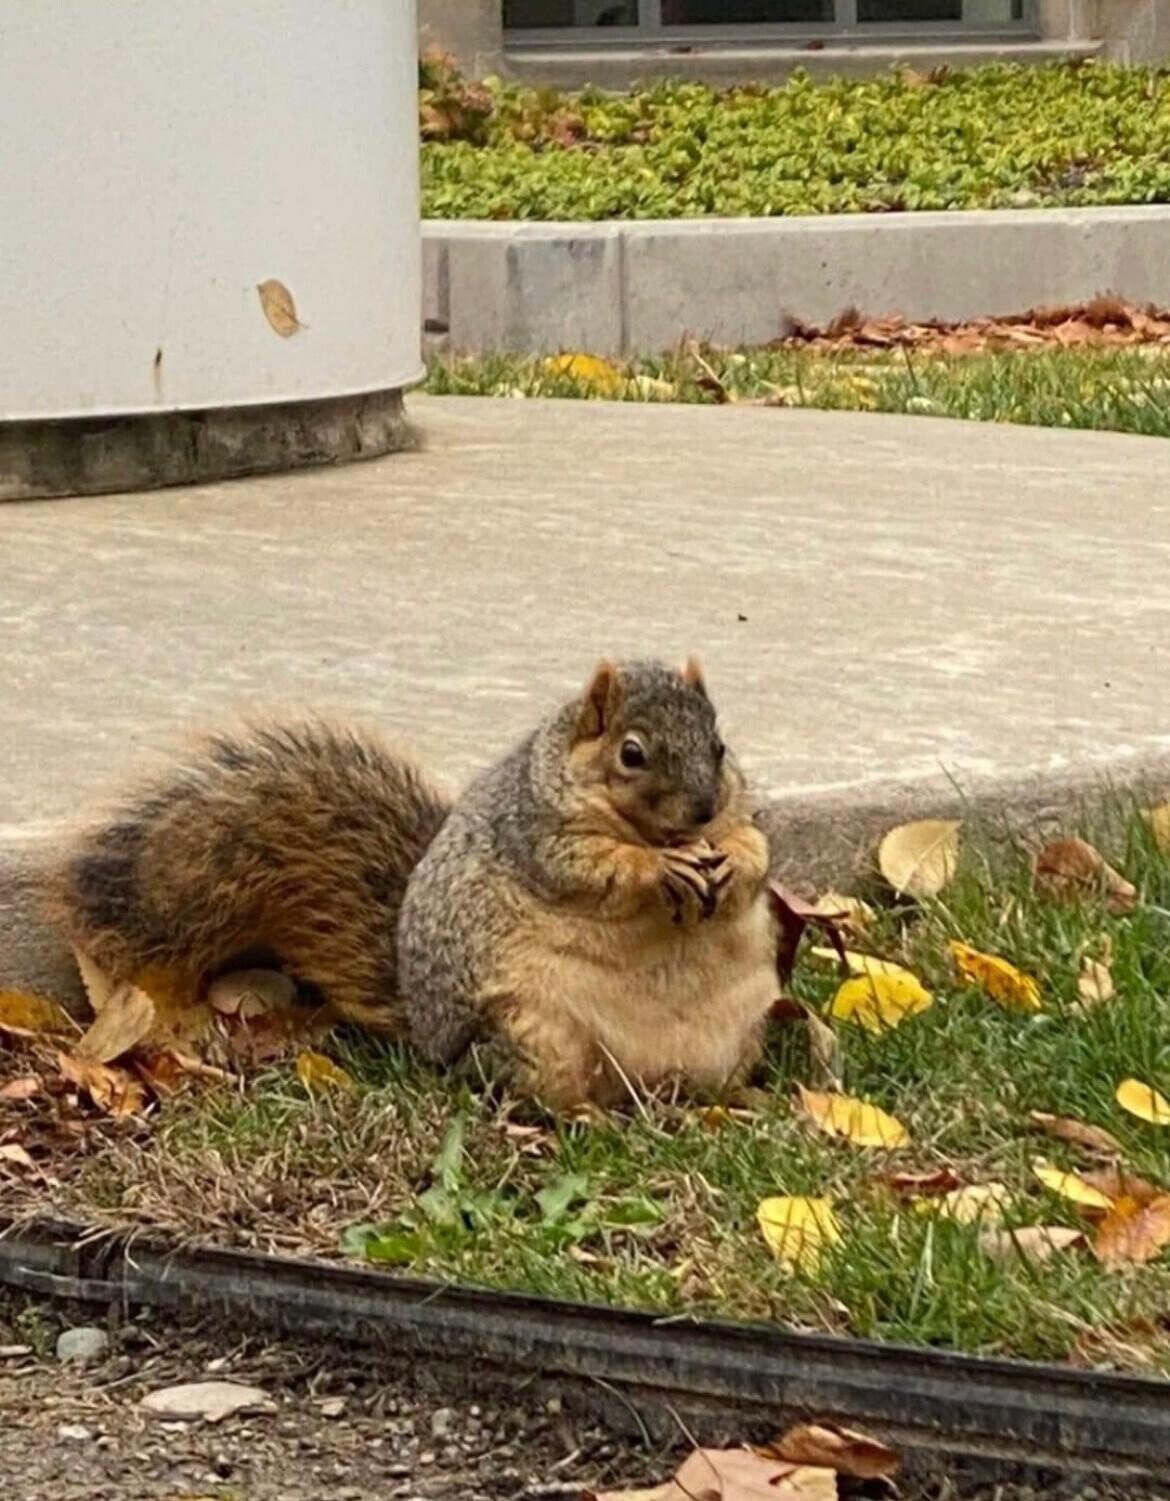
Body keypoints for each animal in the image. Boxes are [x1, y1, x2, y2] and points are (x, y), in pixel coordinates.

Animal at [48, 659, 779, 1109]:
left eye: (719, 746)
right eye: (632, 753)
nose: (702, 808)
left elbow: (757, 850)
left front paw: (732, 859)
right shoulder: (538, 834)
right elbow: (592, 868)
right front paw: (658, 869)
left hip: (744, 1032)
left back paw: (745, 1100)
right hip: (535, 1035)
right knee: (530, 1094)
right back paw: (583, 1115)